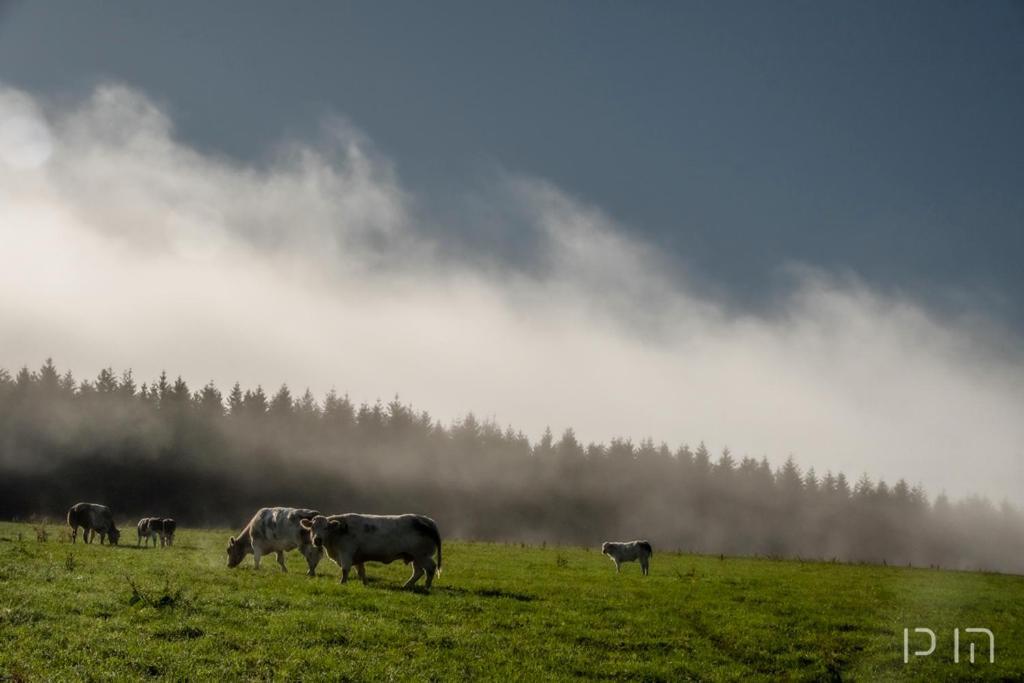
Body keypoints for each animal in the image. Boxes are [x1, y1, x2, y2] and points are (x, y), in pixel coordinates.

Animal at [296, 516, 440, 589]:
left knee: (430, 568)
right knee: (418, 572)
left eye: (326, 527)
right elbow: (361, 571)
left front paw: (342, 583)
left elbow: (345, 569)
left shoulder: (346, 553)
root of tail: (429, 521)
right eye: (312, 527)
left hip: (422, 555)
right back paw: (406, 585)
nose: (317, 540)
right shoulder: (357, 557)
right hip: (415, 557)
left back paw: (426, 587)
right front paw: (365, 584)